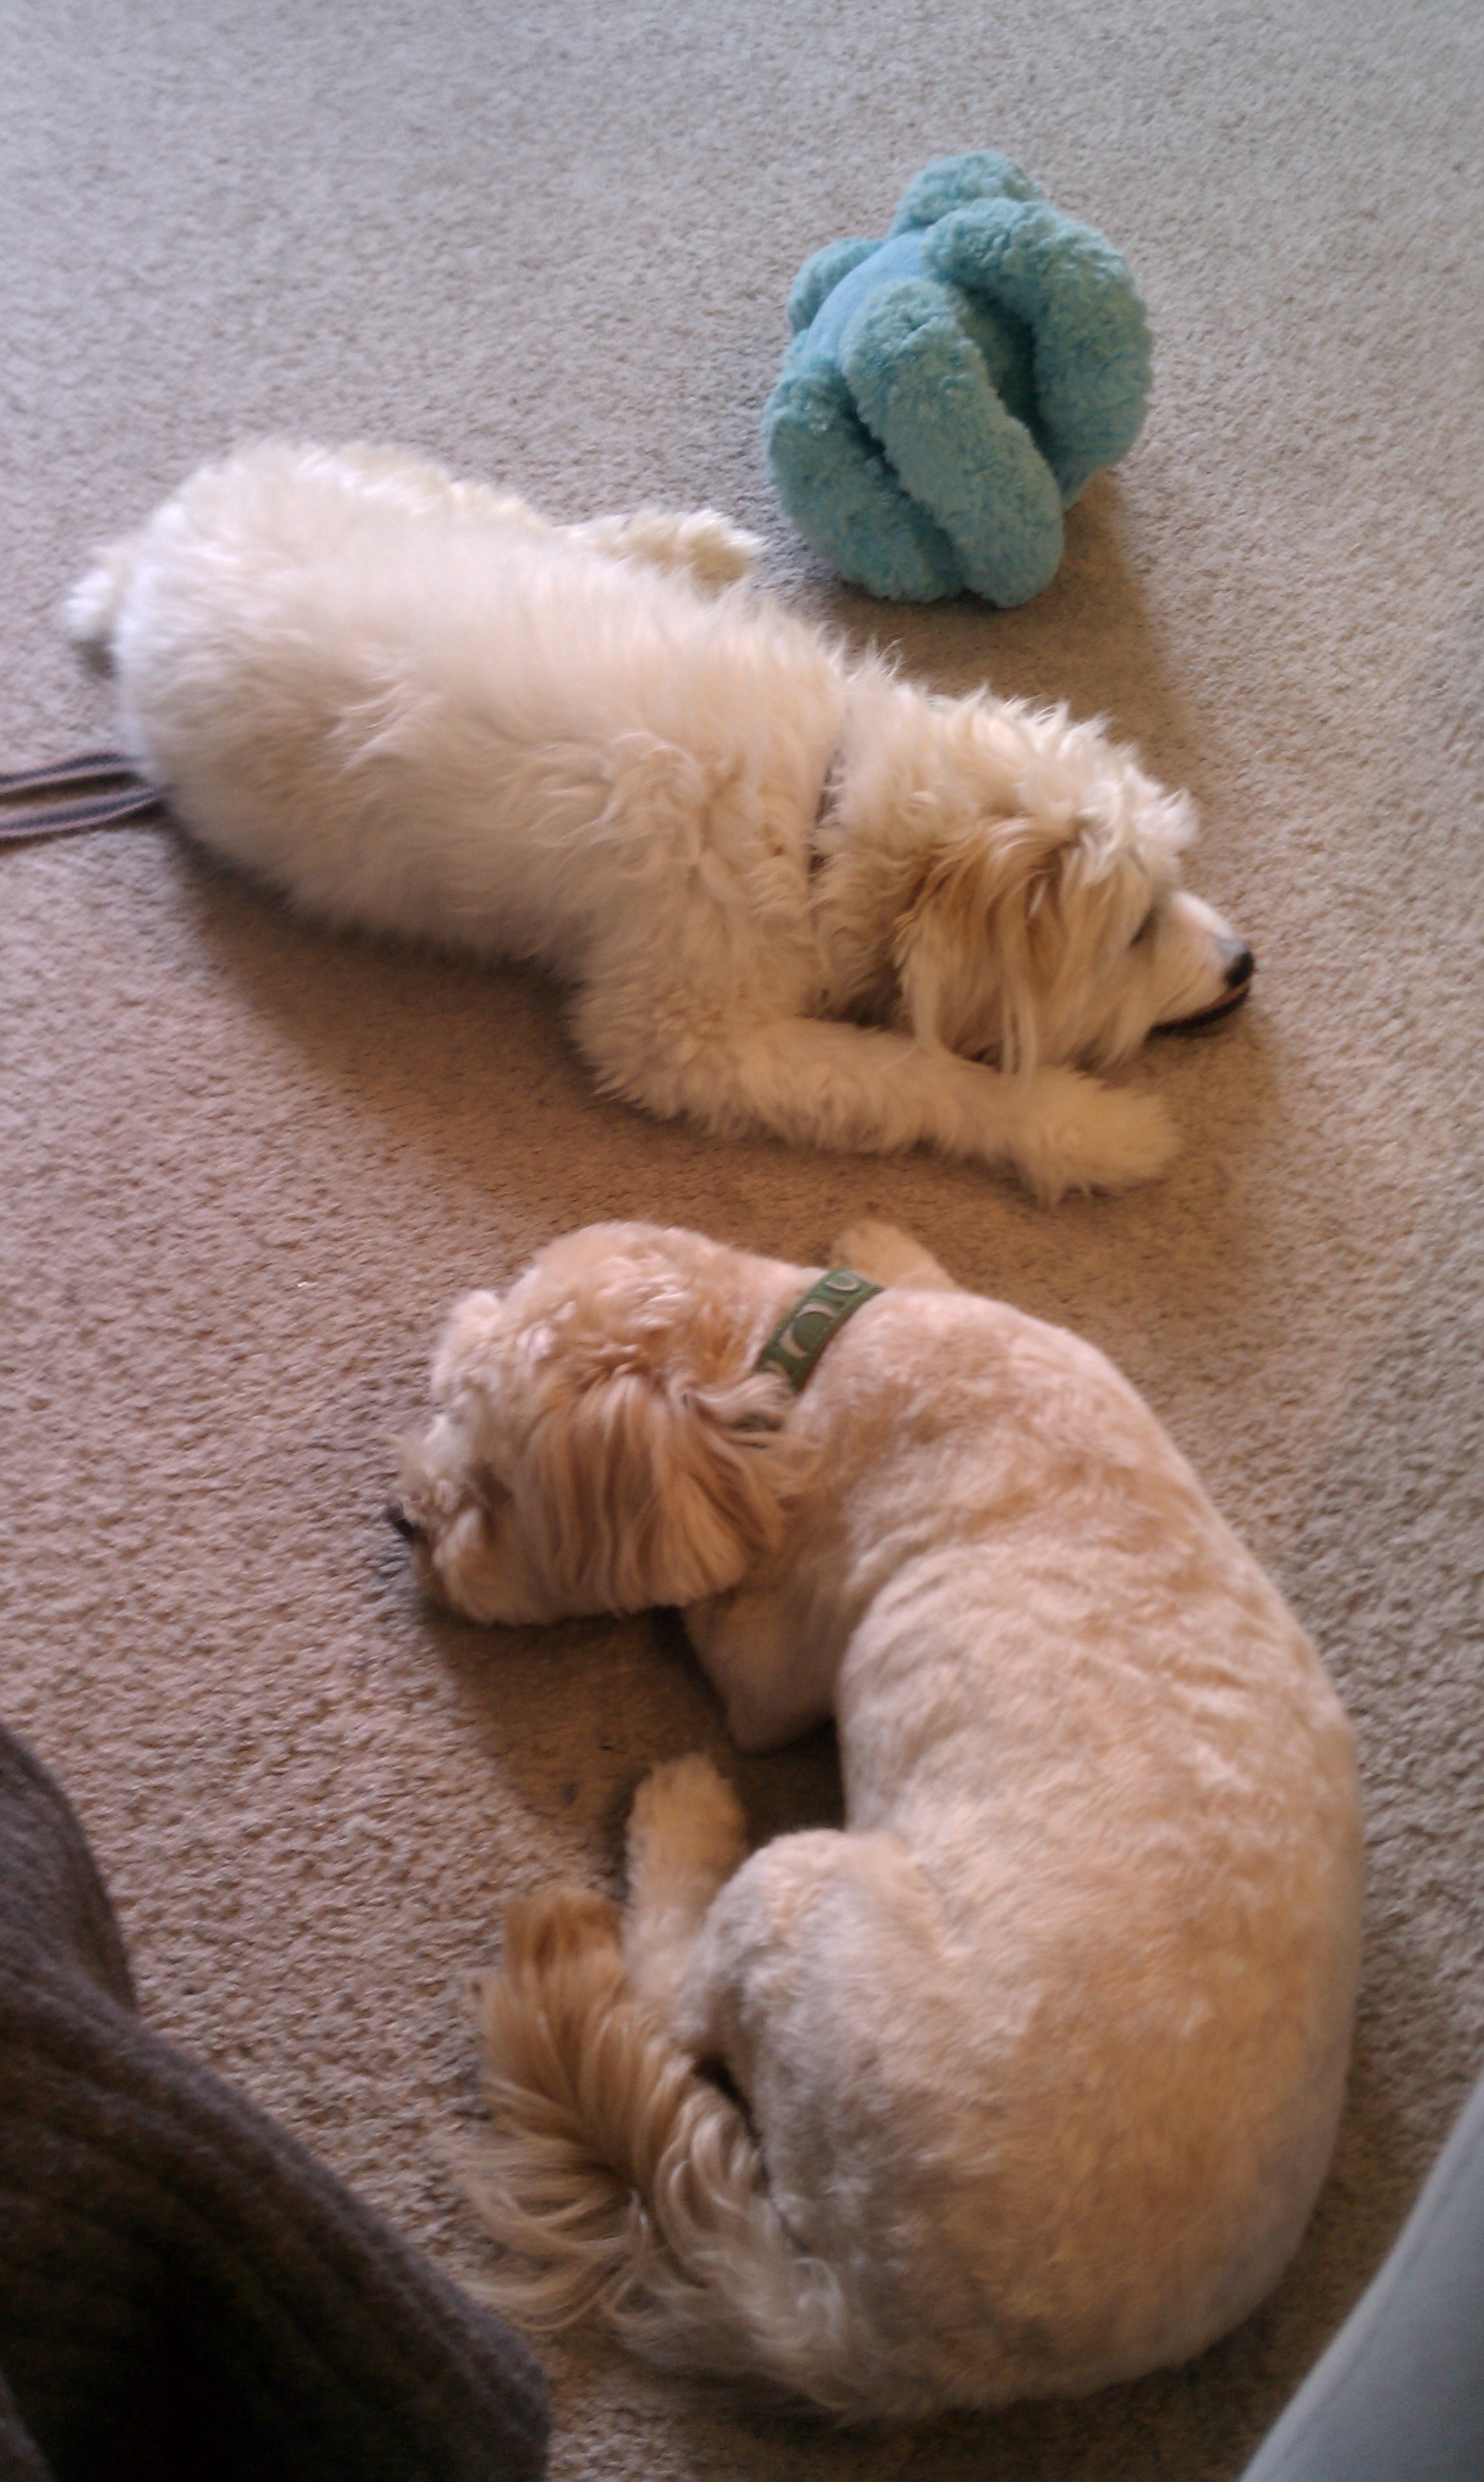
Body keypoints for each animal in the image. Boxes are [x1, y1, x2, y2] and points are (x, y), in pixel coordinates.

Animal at [69, 441, 1253, 1201]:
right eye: (1136, 929)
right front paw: (1087, 1128)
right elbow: (915, 1078)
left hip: (433, 498)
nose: (1244, 964)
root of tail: (153, 562)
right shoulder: (678, 1036)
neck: (825, 807)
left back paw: (683, 547)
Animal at [392, 1218, 1362, 2420]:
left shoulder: (769, 1670)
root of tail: (869, 2341)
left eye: (492, 1491)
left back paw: (682, 1815)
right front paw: (884, 1235)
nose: (404, 1519)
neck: (801, 1350)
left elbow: (712, 1619)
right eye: (443, 1409)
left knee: (673, 2003)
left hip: (798, 1893)